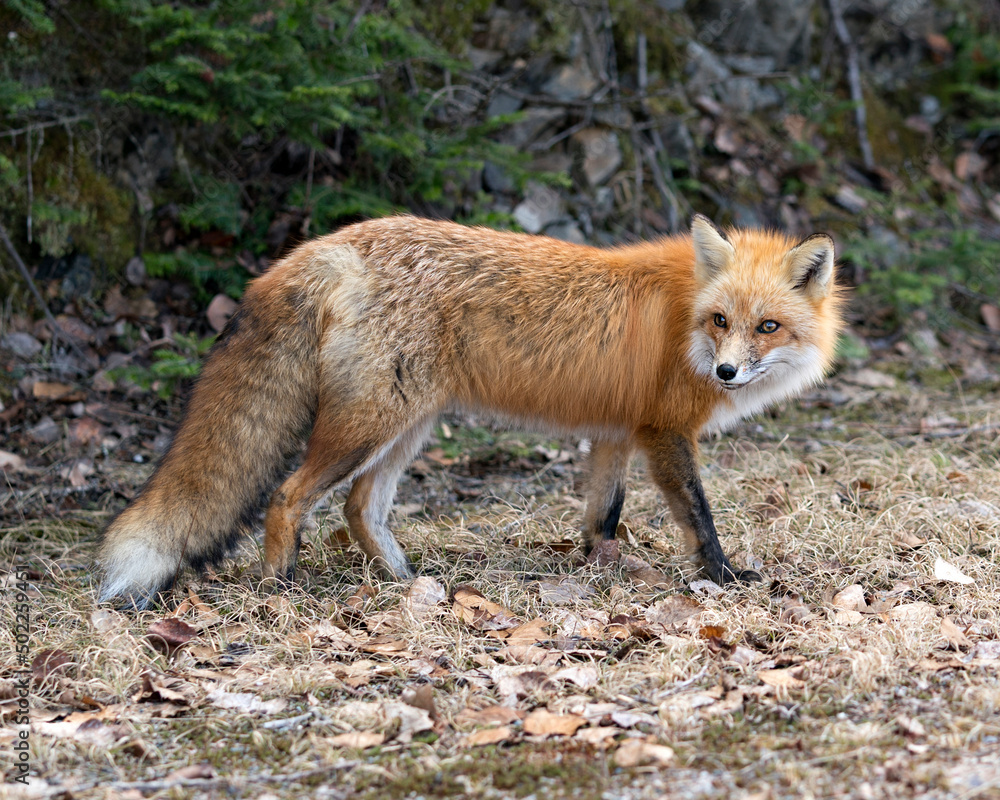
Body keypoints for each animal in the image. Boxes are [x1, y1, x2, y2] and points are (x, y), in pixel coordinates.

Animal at [95, 212, 844, 608]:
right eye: (721, 321)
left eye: (767, 327)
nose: (725, 371)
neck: (684, 317)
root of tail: (325, 246)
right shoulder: (665, 432)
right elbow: (698, 515)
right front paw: (724, 577)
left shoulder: (615, 433)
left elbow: (603, 516)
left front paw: (600, 572)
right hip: (371, 424)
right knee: (287, 497)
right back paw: (281, 587)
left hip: (407, 425)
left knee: (359, 507)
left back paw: (406, 582)